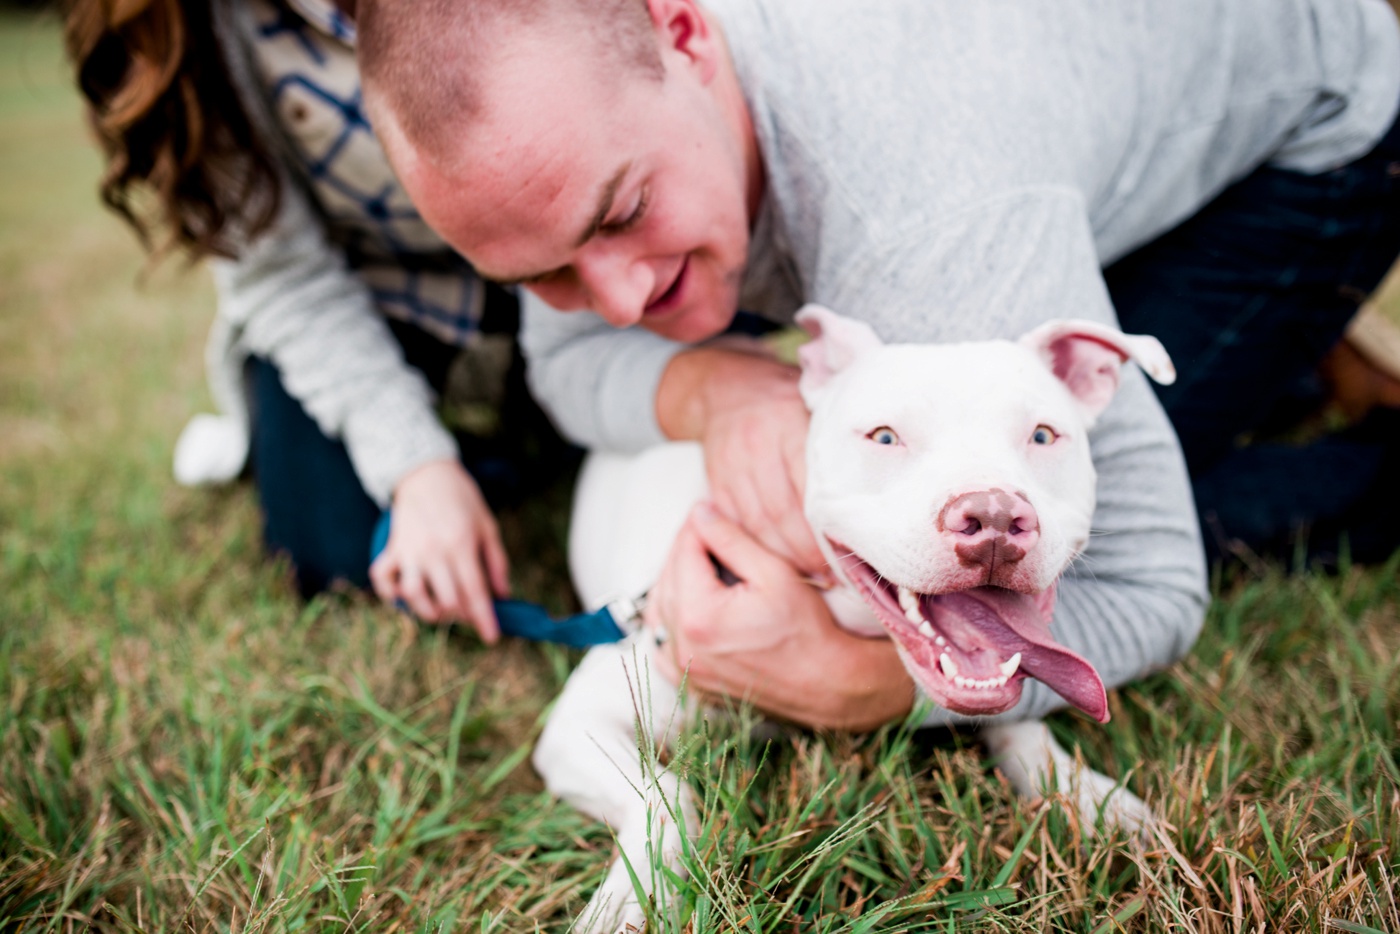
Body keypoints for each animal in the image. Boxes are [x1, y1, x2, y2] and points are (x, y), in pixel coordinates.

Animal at [540, 305, 1176, 929]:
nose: (995, 518)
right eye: (885, 436)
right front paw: (630, 900)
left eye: (1043, 435)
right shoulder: (580, 721)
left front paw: (1091, 798)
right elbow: (665, 796)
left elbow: (1028, 731)